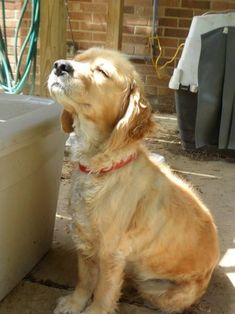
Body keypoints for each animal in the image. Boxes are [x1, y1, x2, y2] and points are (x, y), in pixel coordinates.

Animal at [47, 47, 218, 312]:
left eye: (102, 71)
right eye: (78, 59)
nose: (60, 66)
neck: (101, 165)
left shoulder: (110, 249)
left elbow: (104, 289)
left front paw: (95, 309)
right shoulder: (84, 236)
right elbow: (85, 278)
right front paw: (74, 303)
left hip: (156, 289)